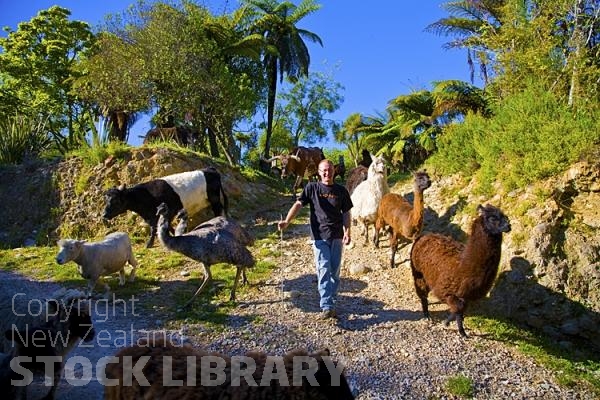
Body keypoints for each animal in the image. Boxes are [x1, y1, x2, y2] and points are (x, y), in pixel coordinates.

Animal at [410, 205, 512, 336]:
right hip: (419, 274)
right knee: (422, 294)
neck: (464, 265)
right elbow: (458, 309)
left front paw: (453, 325)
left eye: (504, 215)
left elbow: (460, 309)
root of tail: (425, 235)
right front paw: (458, 329)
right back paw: (426, 315)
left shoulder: (467, 294)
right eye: (492, 218)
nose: (508, 226)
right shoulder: (446, 291)